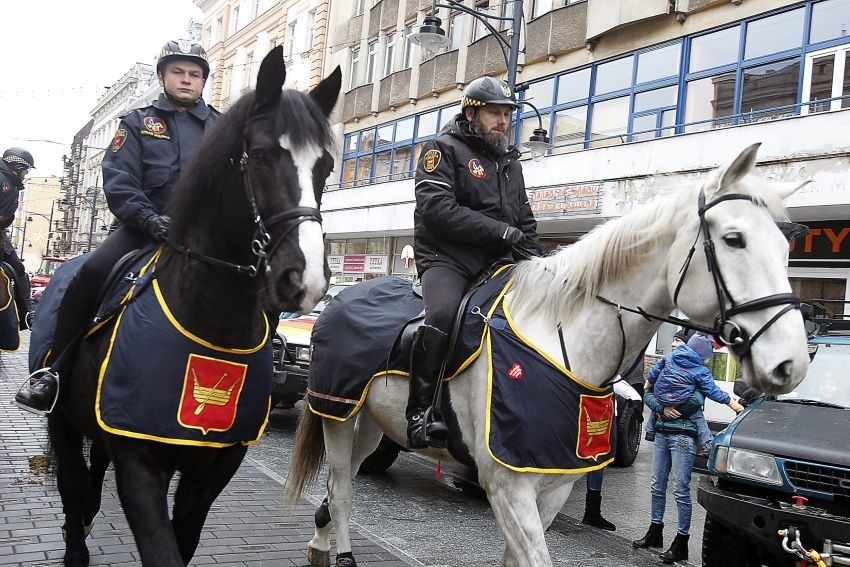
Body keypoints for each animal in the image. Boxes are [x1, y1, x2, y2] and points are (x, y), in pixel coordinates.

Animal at [45, 46, 342, 564]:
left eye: (324, 165)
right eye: (260, 155)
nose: (304, 279)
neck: (211, 322)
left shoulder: (214, 467)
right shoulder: (139, 460)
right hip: (61, 422)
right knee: (71, 483)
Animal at [284, 145, 808, 567]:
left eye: (786, 246)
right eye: (735, 239)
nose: (792, 365)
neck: (561, 342)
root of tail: (338, 300)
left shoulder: (551, 486)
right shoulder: (506, 485)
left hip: (373, 421)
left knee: (343, 482)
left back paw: (322, 542)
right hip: (335, 415)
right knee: (341, 486)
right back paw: (339, 553)